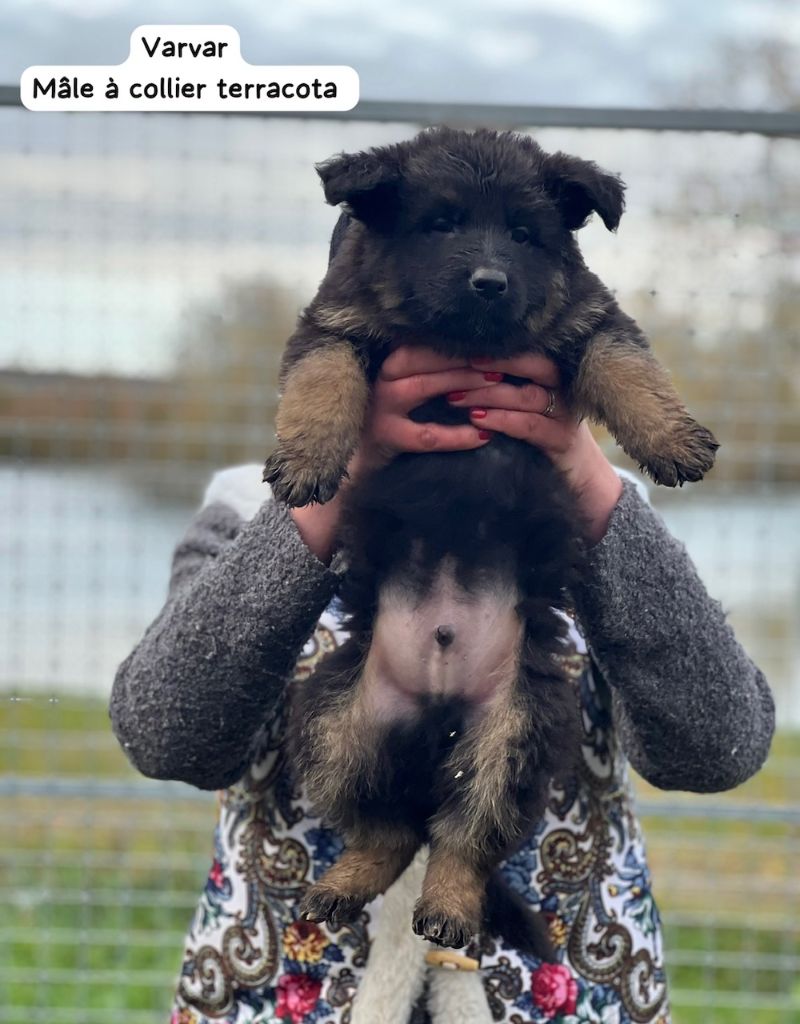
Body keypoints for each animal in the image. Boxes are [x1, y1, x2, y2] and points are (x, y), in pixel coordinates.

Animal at [264, 125, 717, 950]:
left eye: (524, 234)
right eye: (439, 224)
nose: (489, 282)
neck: (463, 344)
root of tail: (438, 714)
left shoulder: (587, 323)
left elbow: (627, 366)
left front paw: (672, 439)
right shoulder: (335, 330)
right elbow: (323, 381)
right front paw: (309, 458)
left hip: (514, 737)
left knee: (460, 838)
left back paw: (445, 906)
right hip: (334, 724)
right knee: (391, 830)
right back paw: (346, 886)